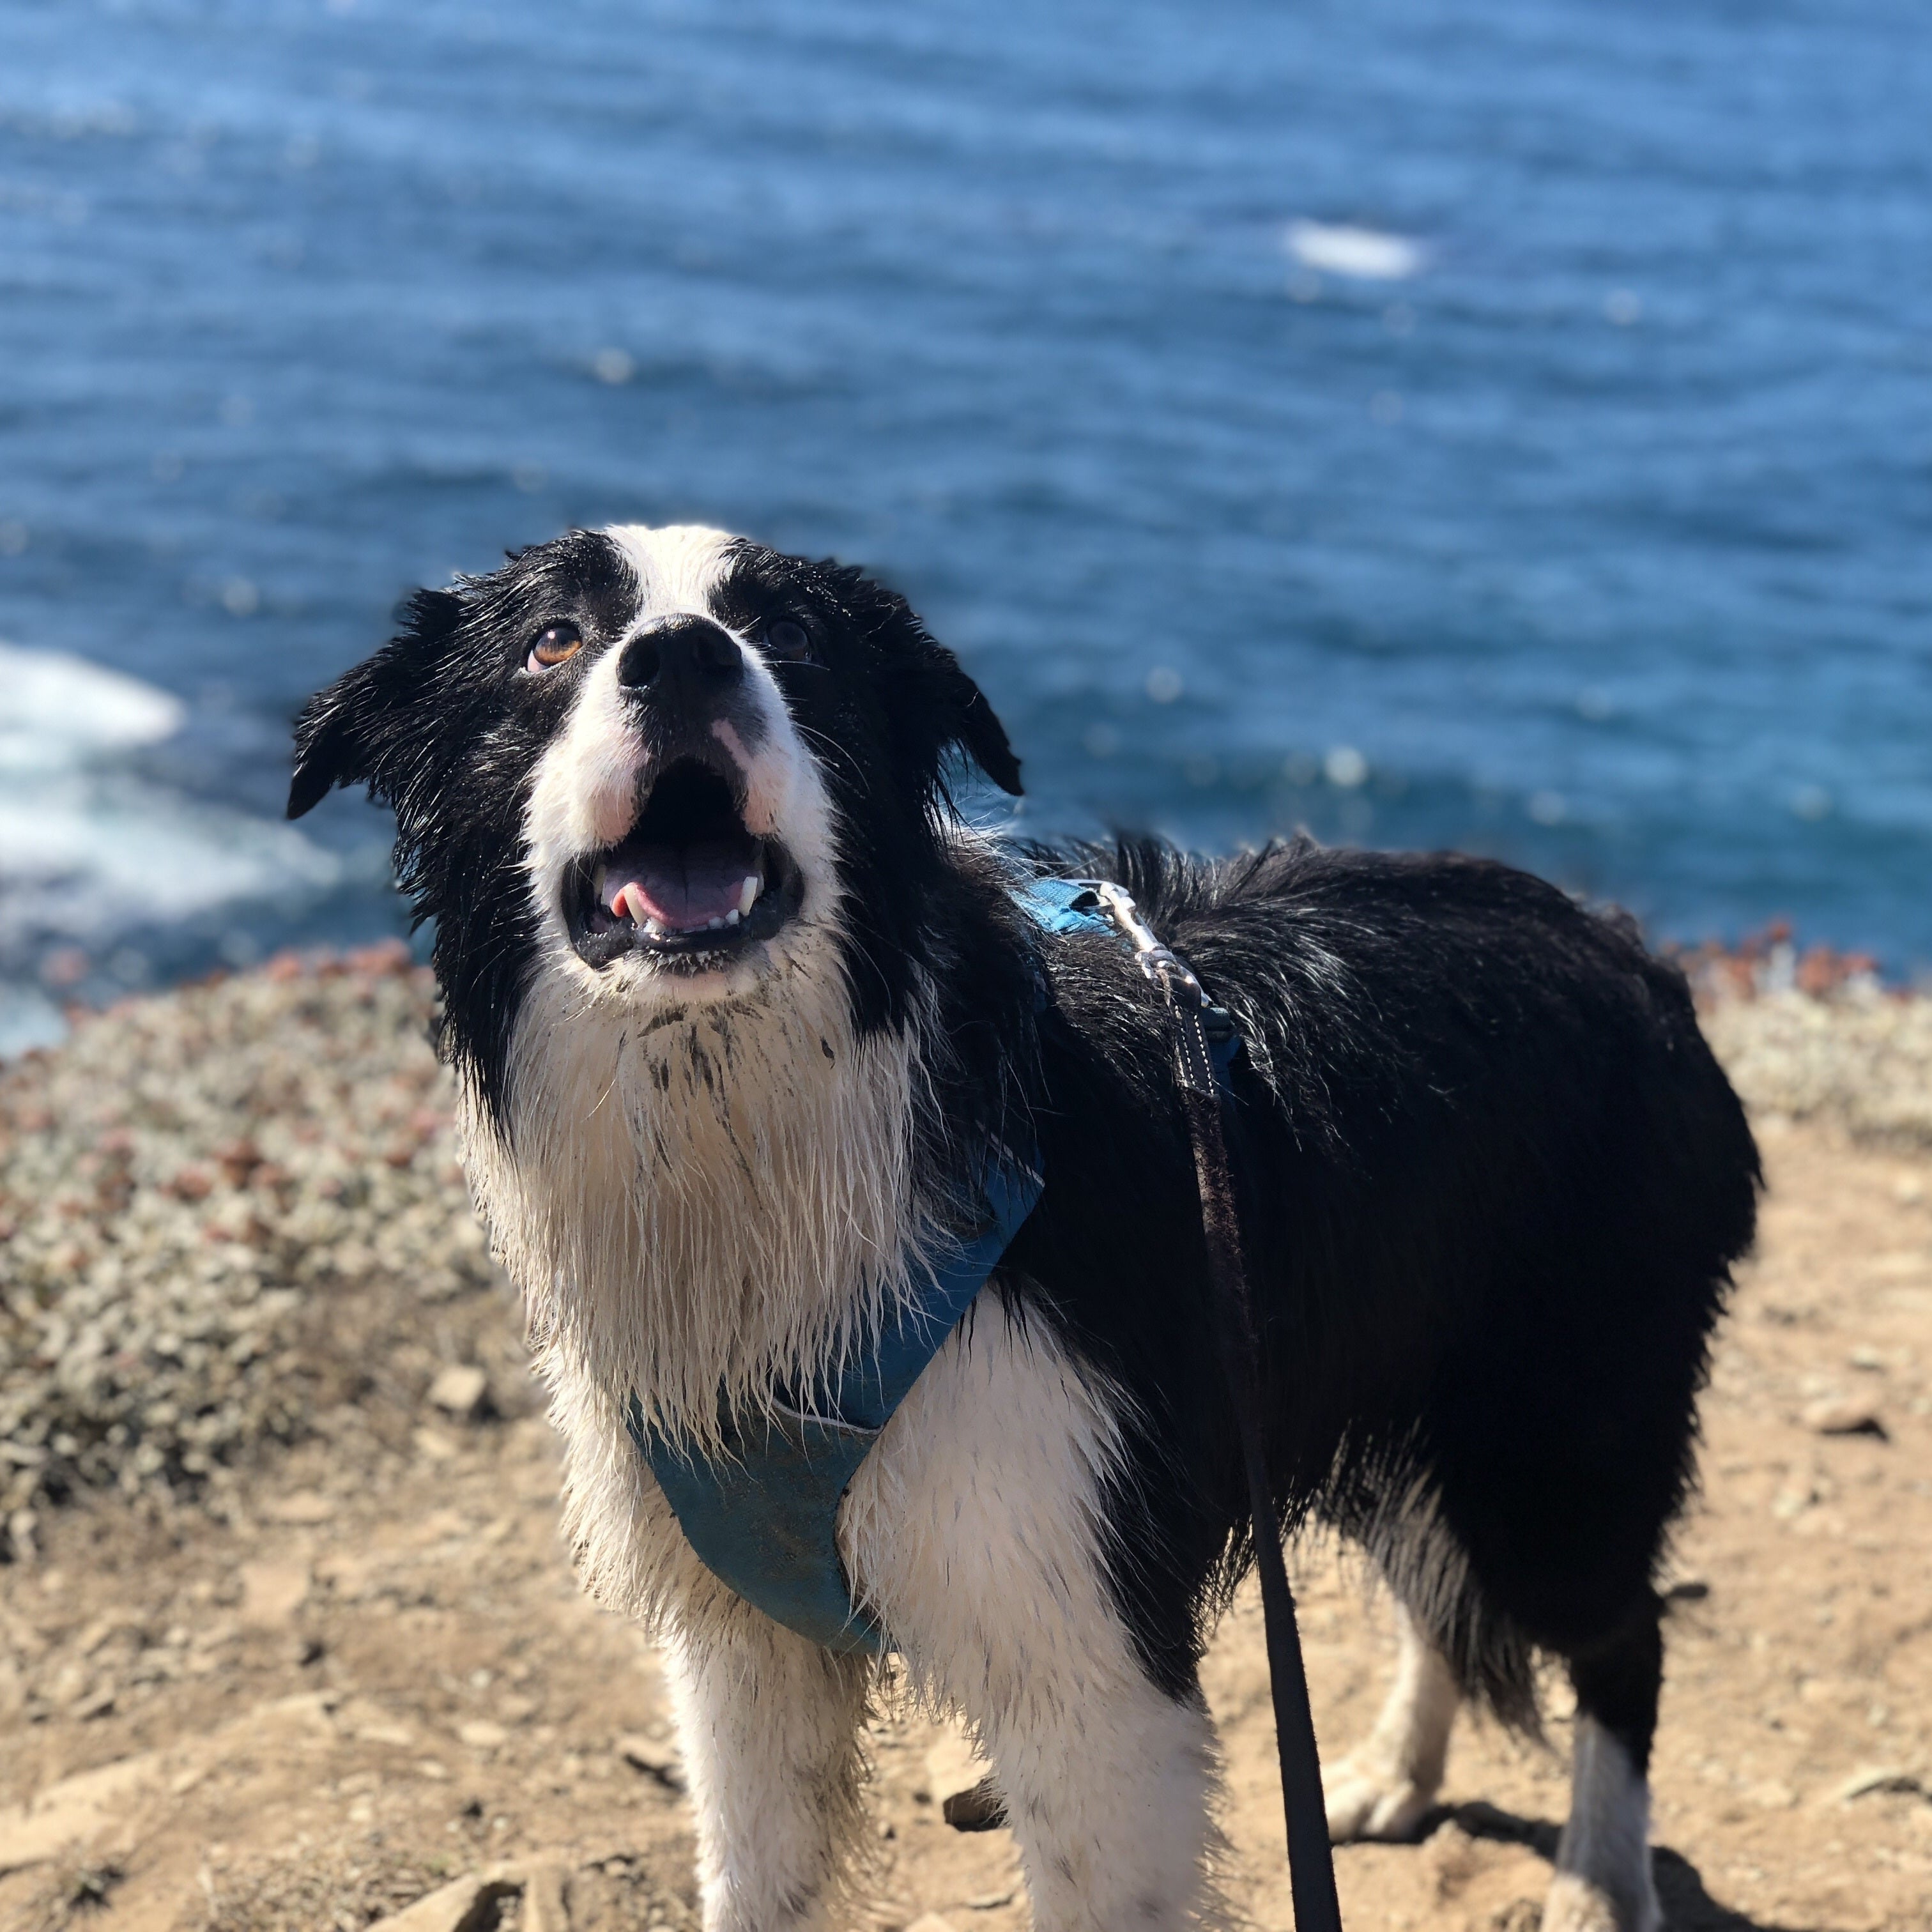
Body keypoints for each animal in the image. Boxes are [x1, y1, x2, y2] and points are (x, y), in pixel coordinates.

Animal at [290, 523, 1759, 1932]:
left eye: (791, 639)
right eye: (552, 641)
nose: (685, 657)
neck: (756, 1128)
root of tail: (1634, 956)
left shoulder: (1082, 1641)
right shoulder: (741, 1642)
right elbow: (755, 1880)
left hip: (1556, 1424)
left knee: (1618, 1635)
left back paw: (1594, 1881)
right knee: (1430, 1581)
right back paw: (1392, 1774)